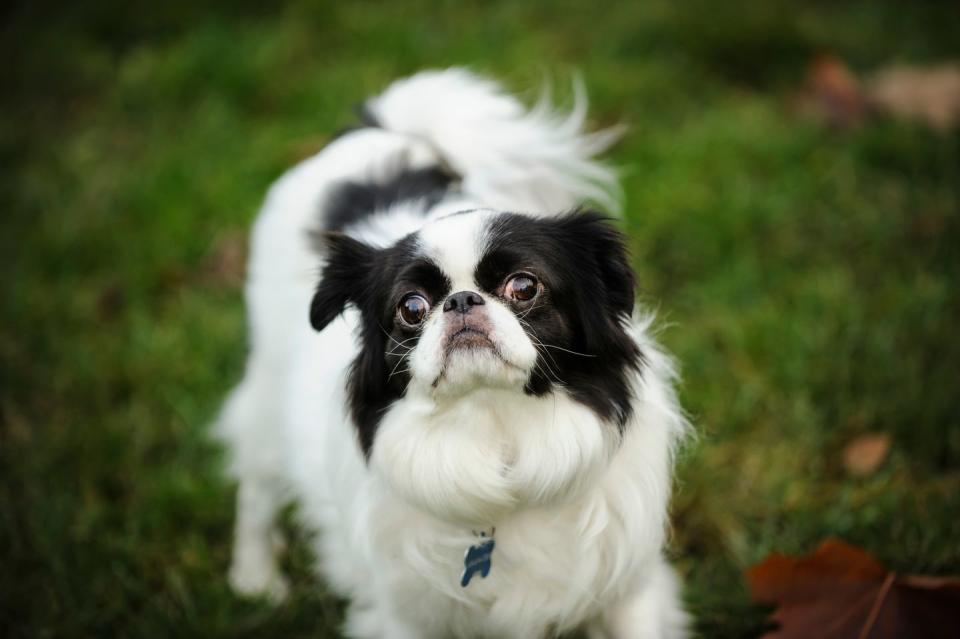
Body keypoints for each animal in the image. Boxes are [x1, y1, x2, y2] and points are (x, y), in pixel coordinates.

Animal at [214, 70, 688, 639]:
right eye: (412, 307)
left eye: (524, 286)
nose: (461, 300)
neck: (496, 432)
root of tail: (380, 133)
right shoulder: (407, 616)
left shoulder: (628, 590)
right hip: (267, 398)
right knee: (256, 487)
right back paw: (256, 578)